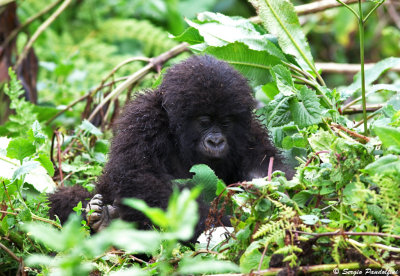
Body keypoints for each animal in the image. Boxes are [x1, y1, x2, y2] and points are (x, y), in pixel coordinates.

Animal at [49, 55, 294, 238]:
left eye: (225, 122)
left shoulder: (250, 131)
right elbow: (139, 175)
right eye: (204, 122)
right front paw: (218, 220)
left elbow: (266, 171)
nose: (216, 141)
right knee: (66, 199)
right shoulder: (144, 118)